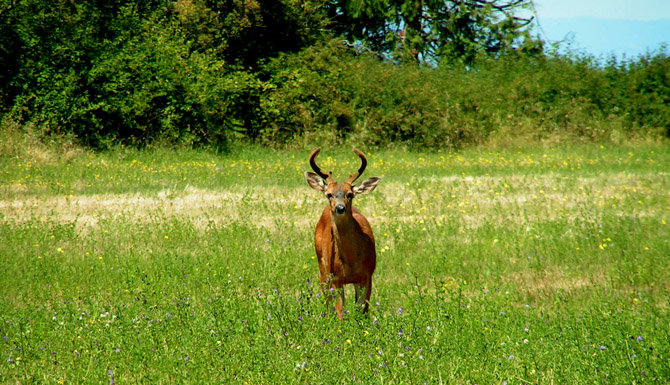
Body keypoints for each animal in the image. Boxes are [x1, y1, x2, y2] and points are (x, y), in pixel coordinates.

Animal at [306, 147, 384, 318]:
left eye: (350, 194)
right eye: (328, 194)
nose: (340, 208)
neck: (352, 260)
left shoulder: (367, 276)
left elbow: (363, 311)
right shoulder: (336, 278)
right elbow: (340, 313)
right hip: (322, 268)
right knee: (328, 303)